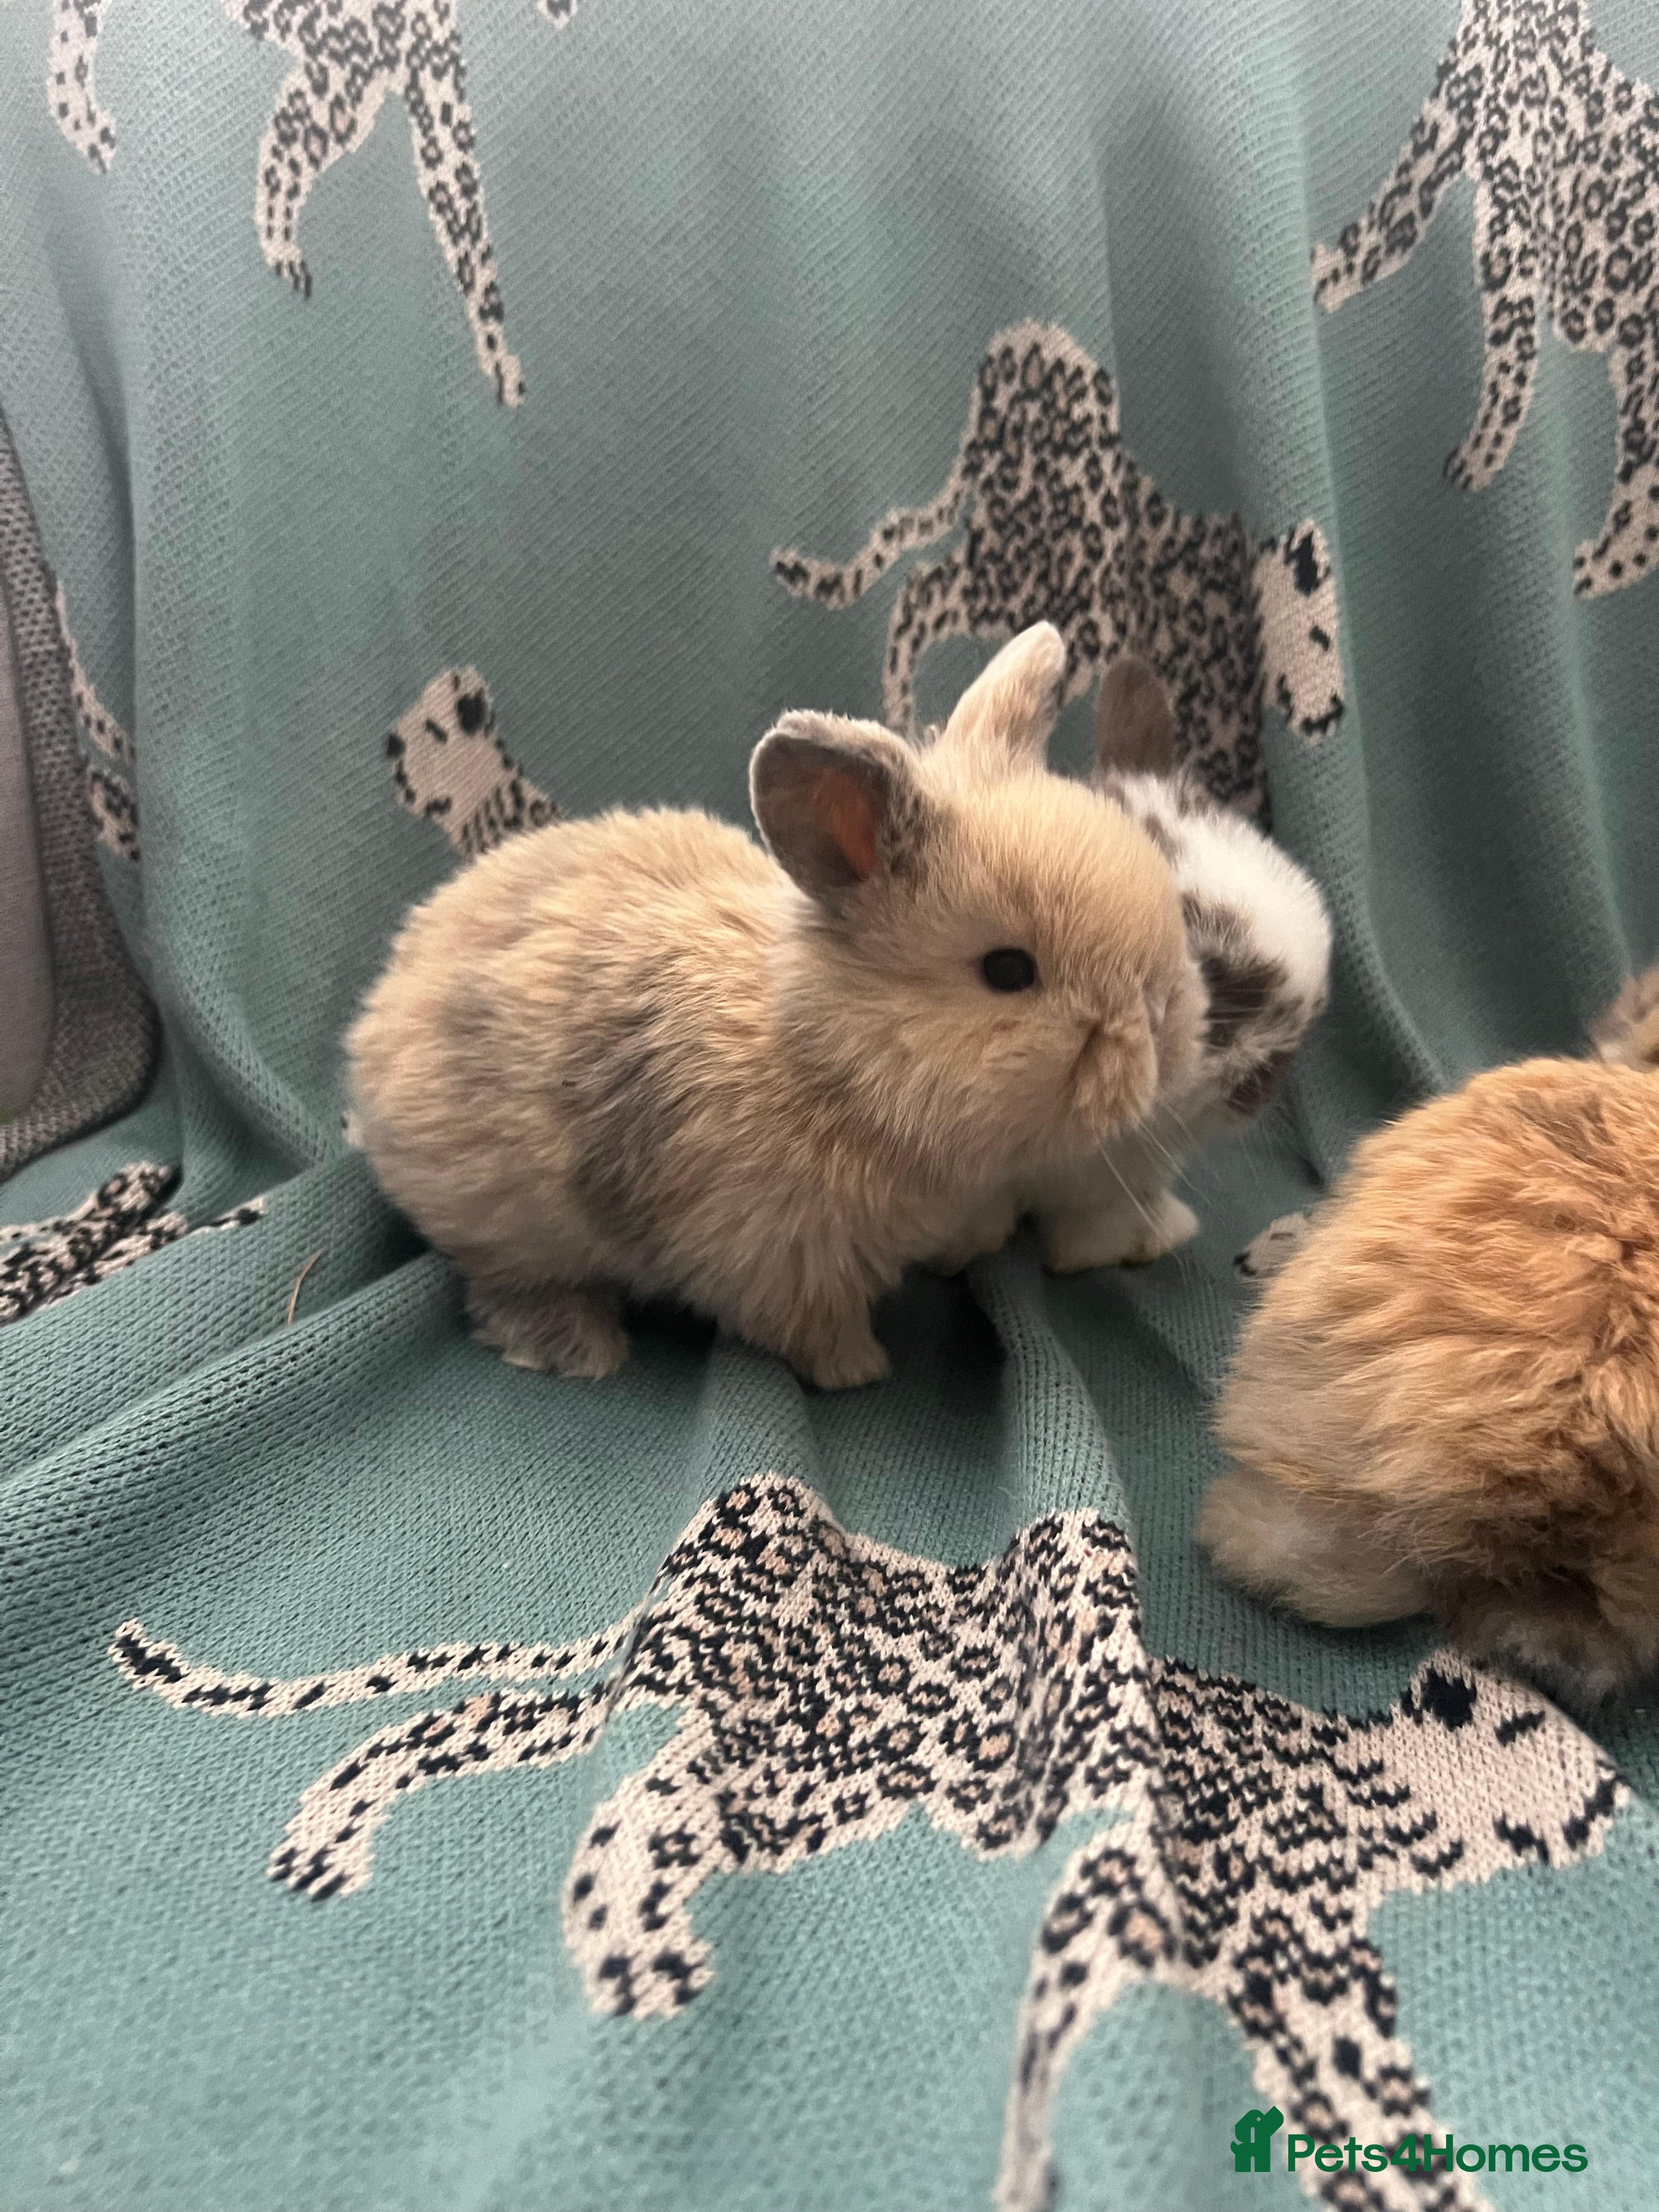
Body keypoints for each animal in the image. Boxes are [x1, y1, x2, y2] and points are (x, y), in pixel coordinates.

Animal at [346, 624, 1202, 1389]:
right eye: (1008, 970)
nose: (1163, 1027)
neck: (830, 1069)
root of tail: (374, 1023)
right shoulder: (779, 1263)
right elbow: (812, 1328)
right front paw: (860, 1372)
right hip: (508, 1219)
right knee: (498, 1282)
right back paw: (577, 1347)